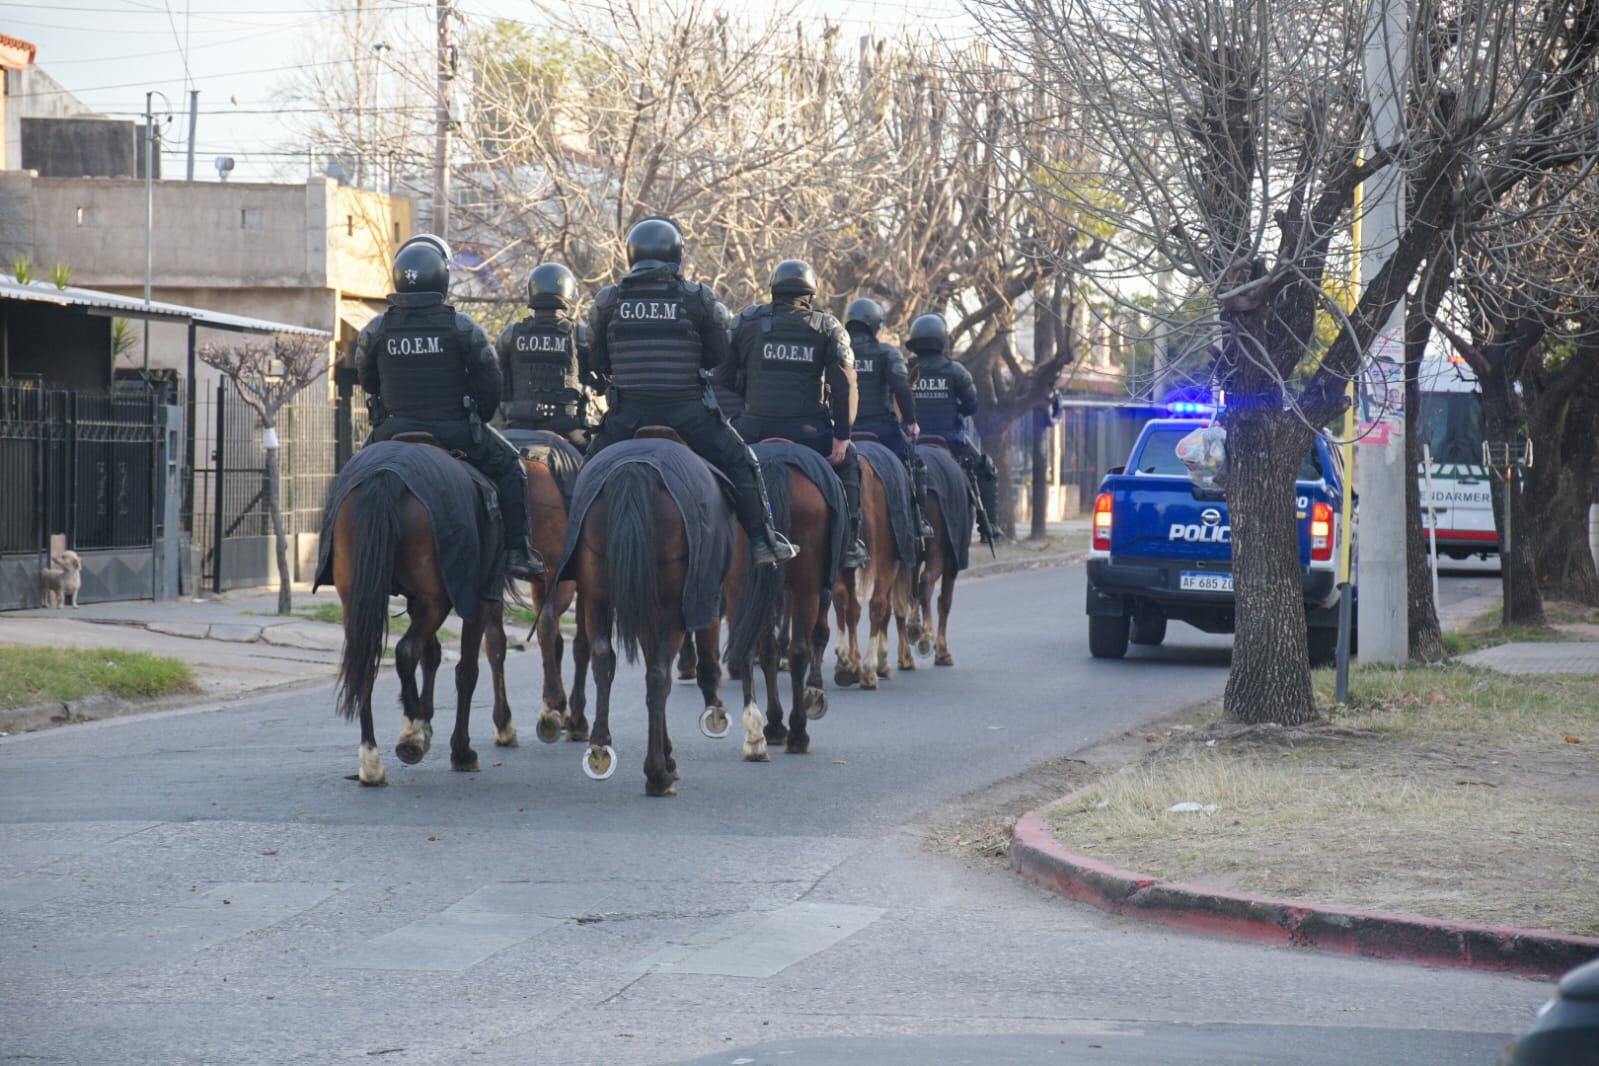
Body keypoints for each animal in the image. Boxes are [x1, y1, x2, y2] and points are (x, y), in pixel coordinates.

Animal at [327, 437, 514, 789]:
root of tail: (385, 474)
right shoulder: (476, 597)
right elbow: (469, 669)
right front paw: (459, 750)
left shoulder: (418, 600)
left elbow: (434, 656)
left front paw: (421, 717)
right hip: (437, 598)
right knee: (406, 651)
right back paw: (412, 739)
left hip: (356, 597)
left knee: (366, 663)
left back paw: (372, 761)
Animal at [559, 431, 732, 792]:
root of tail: (632, 470)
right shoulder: (704, 597)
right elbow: (702, 662)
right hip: (671, 603)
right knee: (658, 676)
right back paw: (656, 774)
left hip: (597, 593)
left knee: (603, 659)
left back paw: (600, 747)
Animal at [725, 447, 844, 763]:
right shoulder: (819, 585)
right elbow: (816, 635)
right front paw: (814, 693)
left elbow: (768, 650)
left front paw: (774, 723)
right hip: (806, 585)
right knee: (799, 650)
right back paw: (798, 732)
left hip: (739, 586)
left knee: (749, 649)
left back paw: (756, 736)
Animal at [831, 437, 921, 687]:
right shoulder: (893, 563)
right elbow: (886, 607)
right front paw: (880, 661)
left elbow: (852, 608)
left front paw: (852, 661)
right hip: (887, 559)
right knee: (878, 604)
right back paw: (870, 668)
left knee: (841, 596)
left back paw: (844, 662)